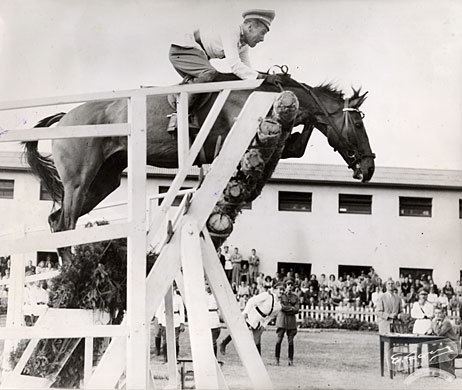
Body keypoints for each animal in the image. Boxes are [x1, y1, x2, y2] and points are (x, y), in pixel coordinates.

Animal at [22, 72, 376, 244]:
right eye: (359, 124)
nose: (369, 167)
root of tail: (65, 117)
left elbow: (296, 145)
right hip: (79, 179)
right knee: (66, 223)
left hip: (104, 180)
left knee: (58, 221)